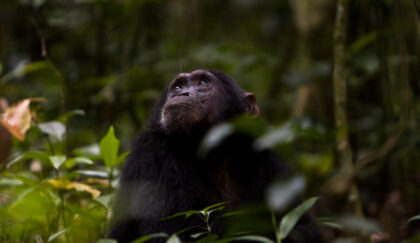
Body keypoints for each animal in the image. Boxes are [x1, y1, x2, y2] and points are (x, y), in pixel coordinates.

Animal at [108, 69, 322, 242]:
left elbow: (302, 227)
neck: (211, 155)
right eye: (178, 86)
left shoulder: (270, 162)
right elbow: (170, 233)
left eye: (203, 83)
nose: (182, 93)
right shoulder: (152, 156)